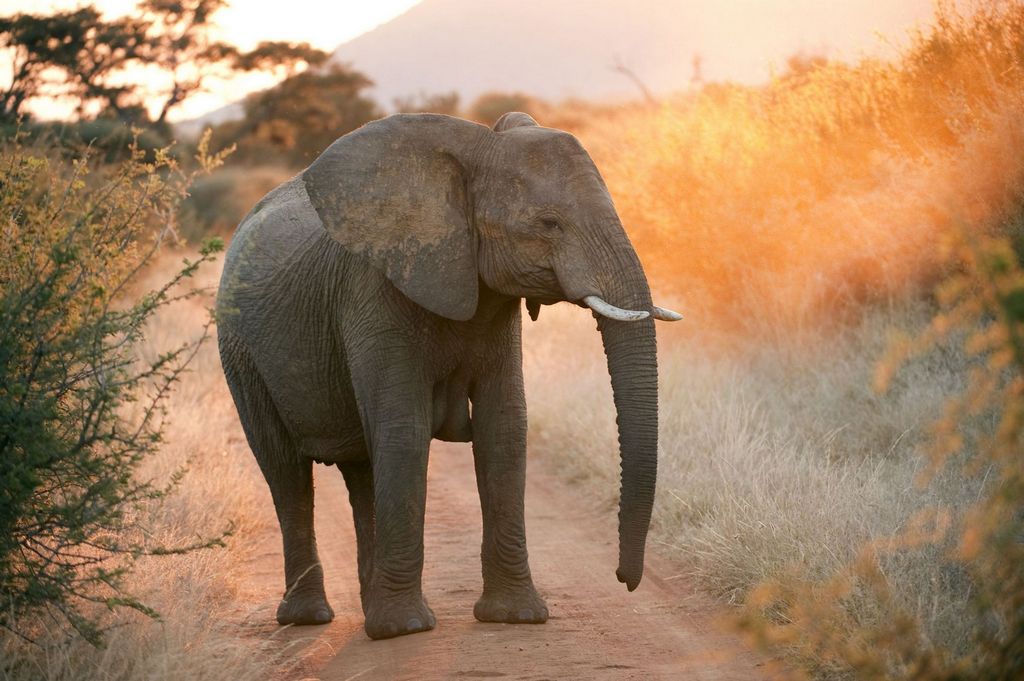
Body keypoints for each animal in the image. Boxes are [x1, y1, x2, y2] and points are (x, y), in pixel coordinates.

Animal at [216, 111, 681, 640]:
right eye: (548, 224)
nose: (625, 579)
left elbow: (505, 428)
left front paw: (516, 617)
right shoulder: (374, 292)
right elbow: (404, 432)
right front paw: (406, 629)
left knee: (362, 471)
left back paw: (369, 611)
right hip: (241, 353)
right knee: (286, 473)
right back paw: (315, 618)